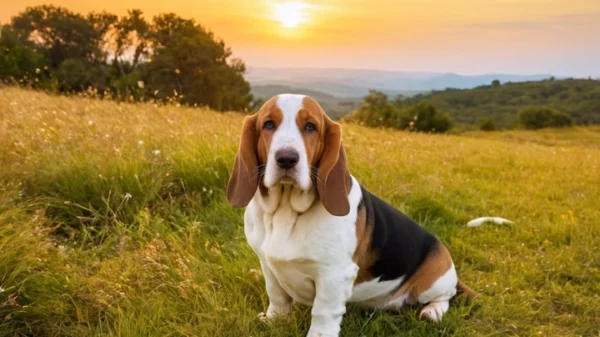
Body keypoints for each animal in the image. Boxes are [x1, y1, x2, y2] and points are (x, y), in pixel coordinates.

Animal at [225, 94, 478, 336]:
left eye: (310, 127)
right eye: (268, 124)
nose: (286, 158)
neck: (286, 209)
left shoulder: (335, 275)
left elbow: (323, 313)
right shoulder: (267, 264)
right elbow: (276, 295)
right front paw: (274, 320)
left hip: (432, 284)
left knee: (445, 297)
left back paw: (432, 312)